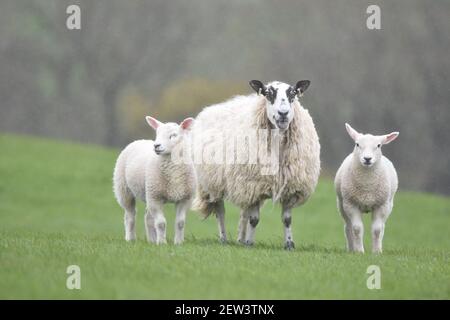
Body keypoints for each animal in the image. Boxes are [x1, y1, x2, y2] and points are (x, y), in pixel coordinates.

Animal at [112, 116, 195, 244]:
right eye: (157, 134)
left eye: (173, 135)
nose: (156, 146)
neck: (173, 173)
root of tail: (139, 140)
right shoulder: (155, 198)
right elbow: (161, 223)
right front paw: (162, 243)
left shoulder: (185, 198)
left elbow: (180, 223)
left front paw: (178, 243)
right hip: (124, 190)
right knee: (130, 216)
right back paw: (130, 239)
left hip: (148, 193)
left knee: (148, 217)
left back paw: (151, 240)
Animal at [190, 79, 320, 249]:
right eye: (268, 94)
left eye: (293, 94)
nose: (283, 113)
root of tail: (207, 110)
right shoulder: (254, 185)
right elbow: (254, 219)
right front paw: (250, 243)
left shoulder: (289, 187)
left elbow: (286, 219)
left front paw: (289, 244)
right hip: (213, 182)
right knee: (220, 211)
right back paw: (224, 239)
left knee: (243, 213)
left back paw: (240, 239)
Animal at [336, 124, 400, 254]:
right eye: (357, 144)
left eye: (379, 145)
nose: (367, 158)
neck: (367, 186)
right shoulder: (351, 204)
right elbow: (357, 229)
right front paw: (359, 251)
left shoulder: (381, 205)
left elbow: (377, 230)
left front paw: (376, 252)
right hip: (341, 204)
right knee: (348, 227)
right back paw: (351, 249)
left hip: (389, 205)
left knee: (382, 227)